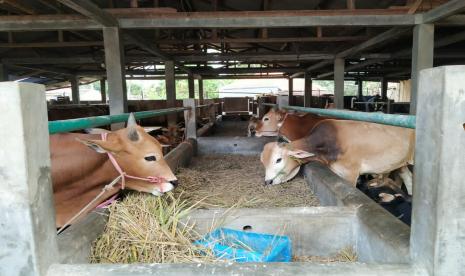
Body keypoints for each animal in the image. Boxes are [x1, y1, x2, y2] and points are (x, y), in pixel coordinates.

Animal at [260, 118, 416, 194]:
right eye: (263, 162)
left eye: (278, 159)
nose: (267, 182)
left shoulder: (351, 174)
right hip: (401, 164)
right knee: (408, 178)